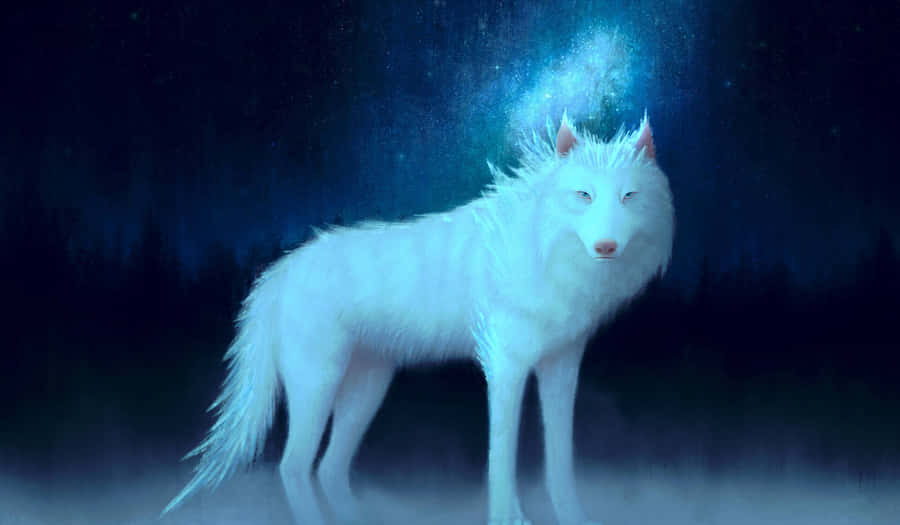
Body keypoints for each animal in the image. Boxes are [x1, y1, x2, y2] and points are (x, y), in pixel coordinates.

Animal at [162, 113, 675, 525]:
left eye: (629, 197)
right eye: (583, 195)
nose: (606, 247)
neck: (542, 249)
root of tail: (277, 275)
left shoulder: (562, 366)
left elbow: (560, 460)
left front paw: (575, 518)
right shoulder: (505, 367)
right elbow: (502, 456)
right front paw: (509, 519)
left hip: (367, 388)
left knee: (329, 468)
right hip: (318, 383)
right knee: (293, 466)